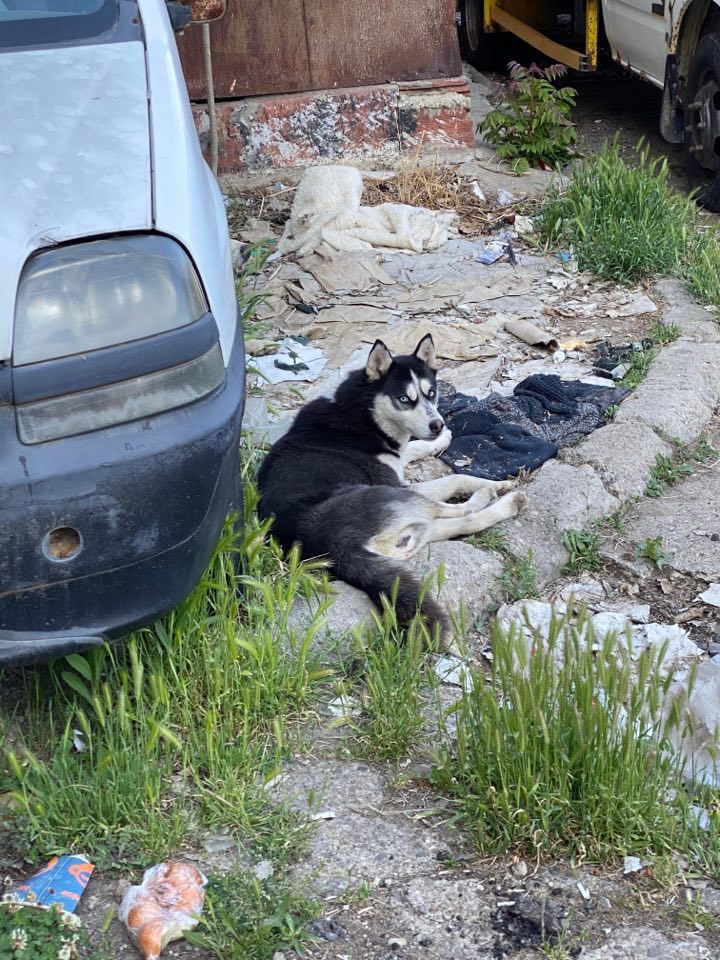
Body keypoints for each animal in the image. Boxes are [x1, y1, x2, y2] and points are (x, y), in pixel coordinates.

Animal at [258, 336, 528, 644]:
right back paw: (499, 498)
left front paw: (442, 440)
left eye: (431, 393)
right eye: (404, 399)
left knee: (460, 523)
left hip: (408, 531)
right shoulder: (395, 481)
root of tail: (334, 548)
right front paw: (492, 483)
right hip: (391, 495)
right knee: (461, 512)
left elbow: (412, 447)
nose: (438, 424)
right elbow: (455, 479)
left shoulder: (399, 458)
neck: (363, 413)